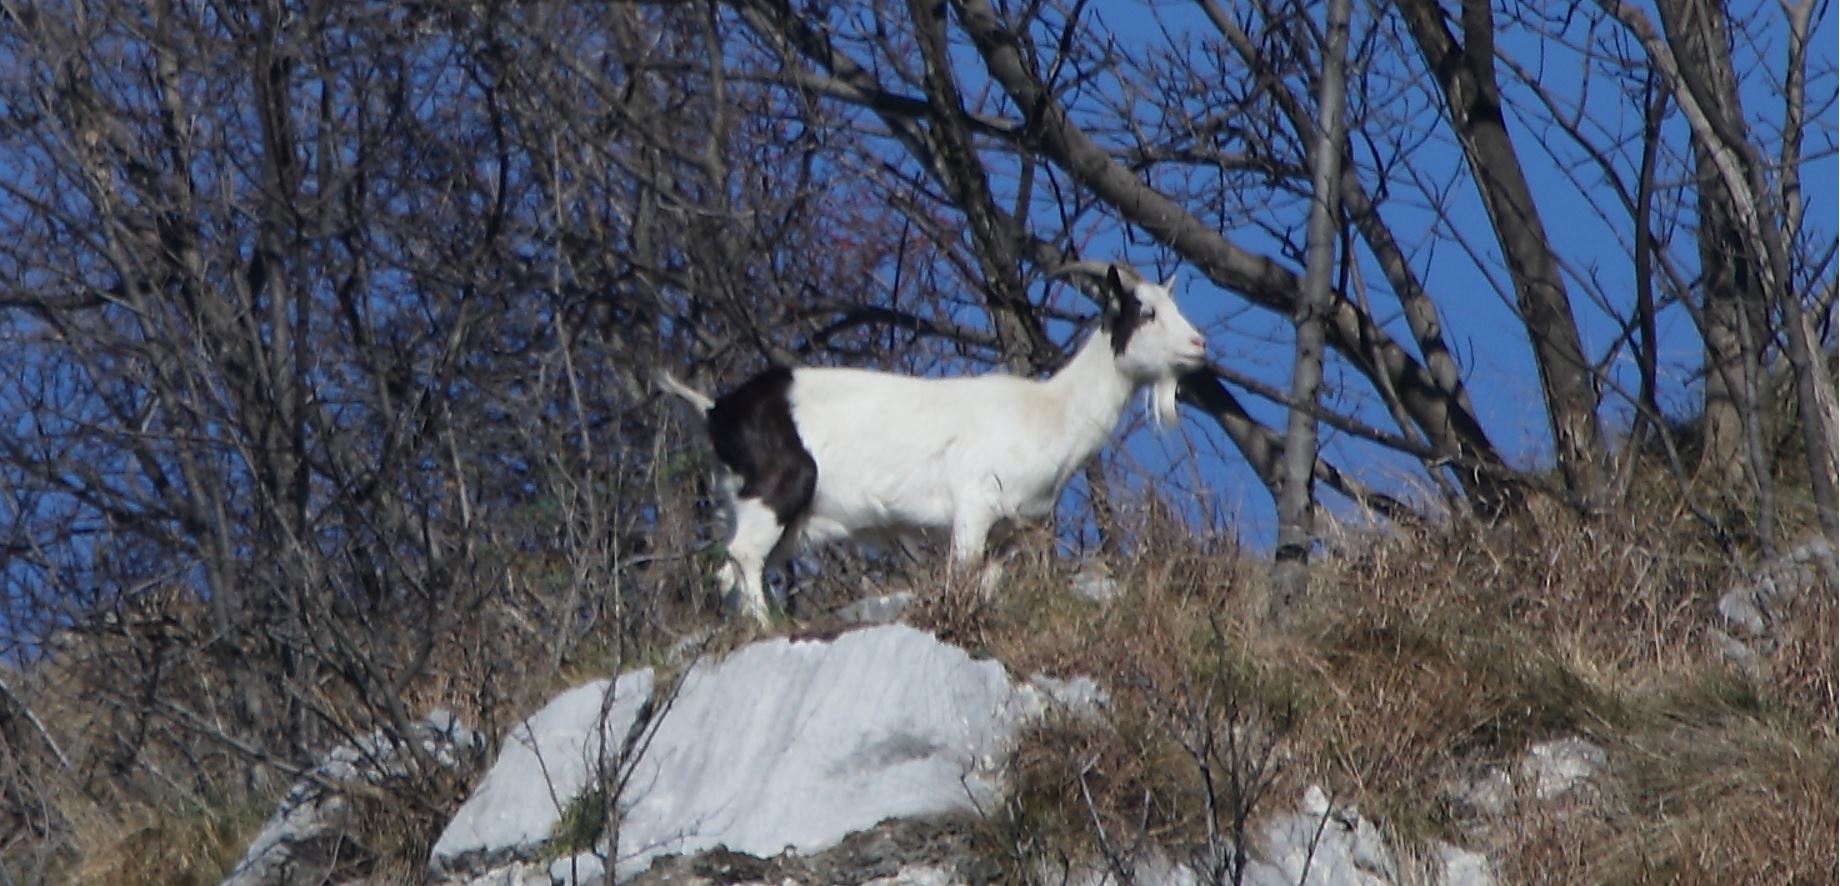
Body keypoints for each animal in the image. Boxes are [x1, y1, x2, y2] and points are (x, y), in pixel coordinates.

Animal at [659, 262, 1207, 625]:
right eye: (1146, 311)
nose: (1198, 345)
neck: (1051, 410)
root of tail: (716, 411)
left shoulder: (1008, 533)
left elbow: (986, 584)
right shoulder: (975, 504)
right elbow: (961, 570)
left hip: (771, 515)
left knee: (730, 569)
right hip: (776, 492)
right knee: (744, 556)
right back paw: (768, 628)